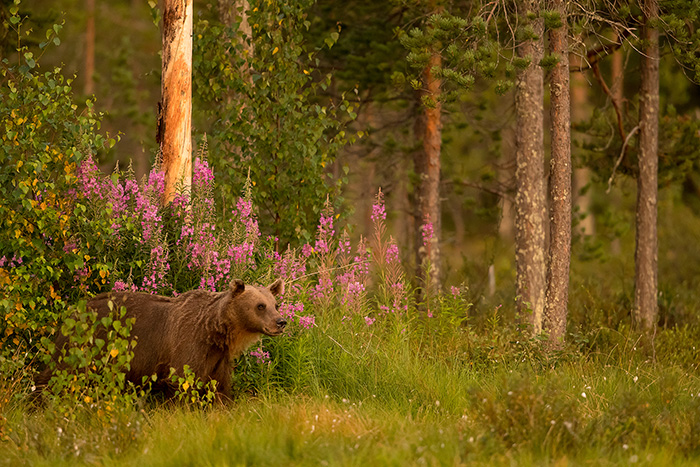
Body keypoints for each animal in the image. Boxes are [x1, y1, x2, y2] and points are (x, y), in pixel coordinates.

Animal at [35, 278, 286, 399]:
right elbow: (182, 386)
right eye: (260, 306)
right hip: (81, 345)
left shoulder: (217, 361)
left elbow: (220, 391)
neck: (216, 332)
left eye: (275, 304)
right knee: (55, 374)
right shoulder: (187, 347)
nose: (281, 322)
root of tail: (73, 311)